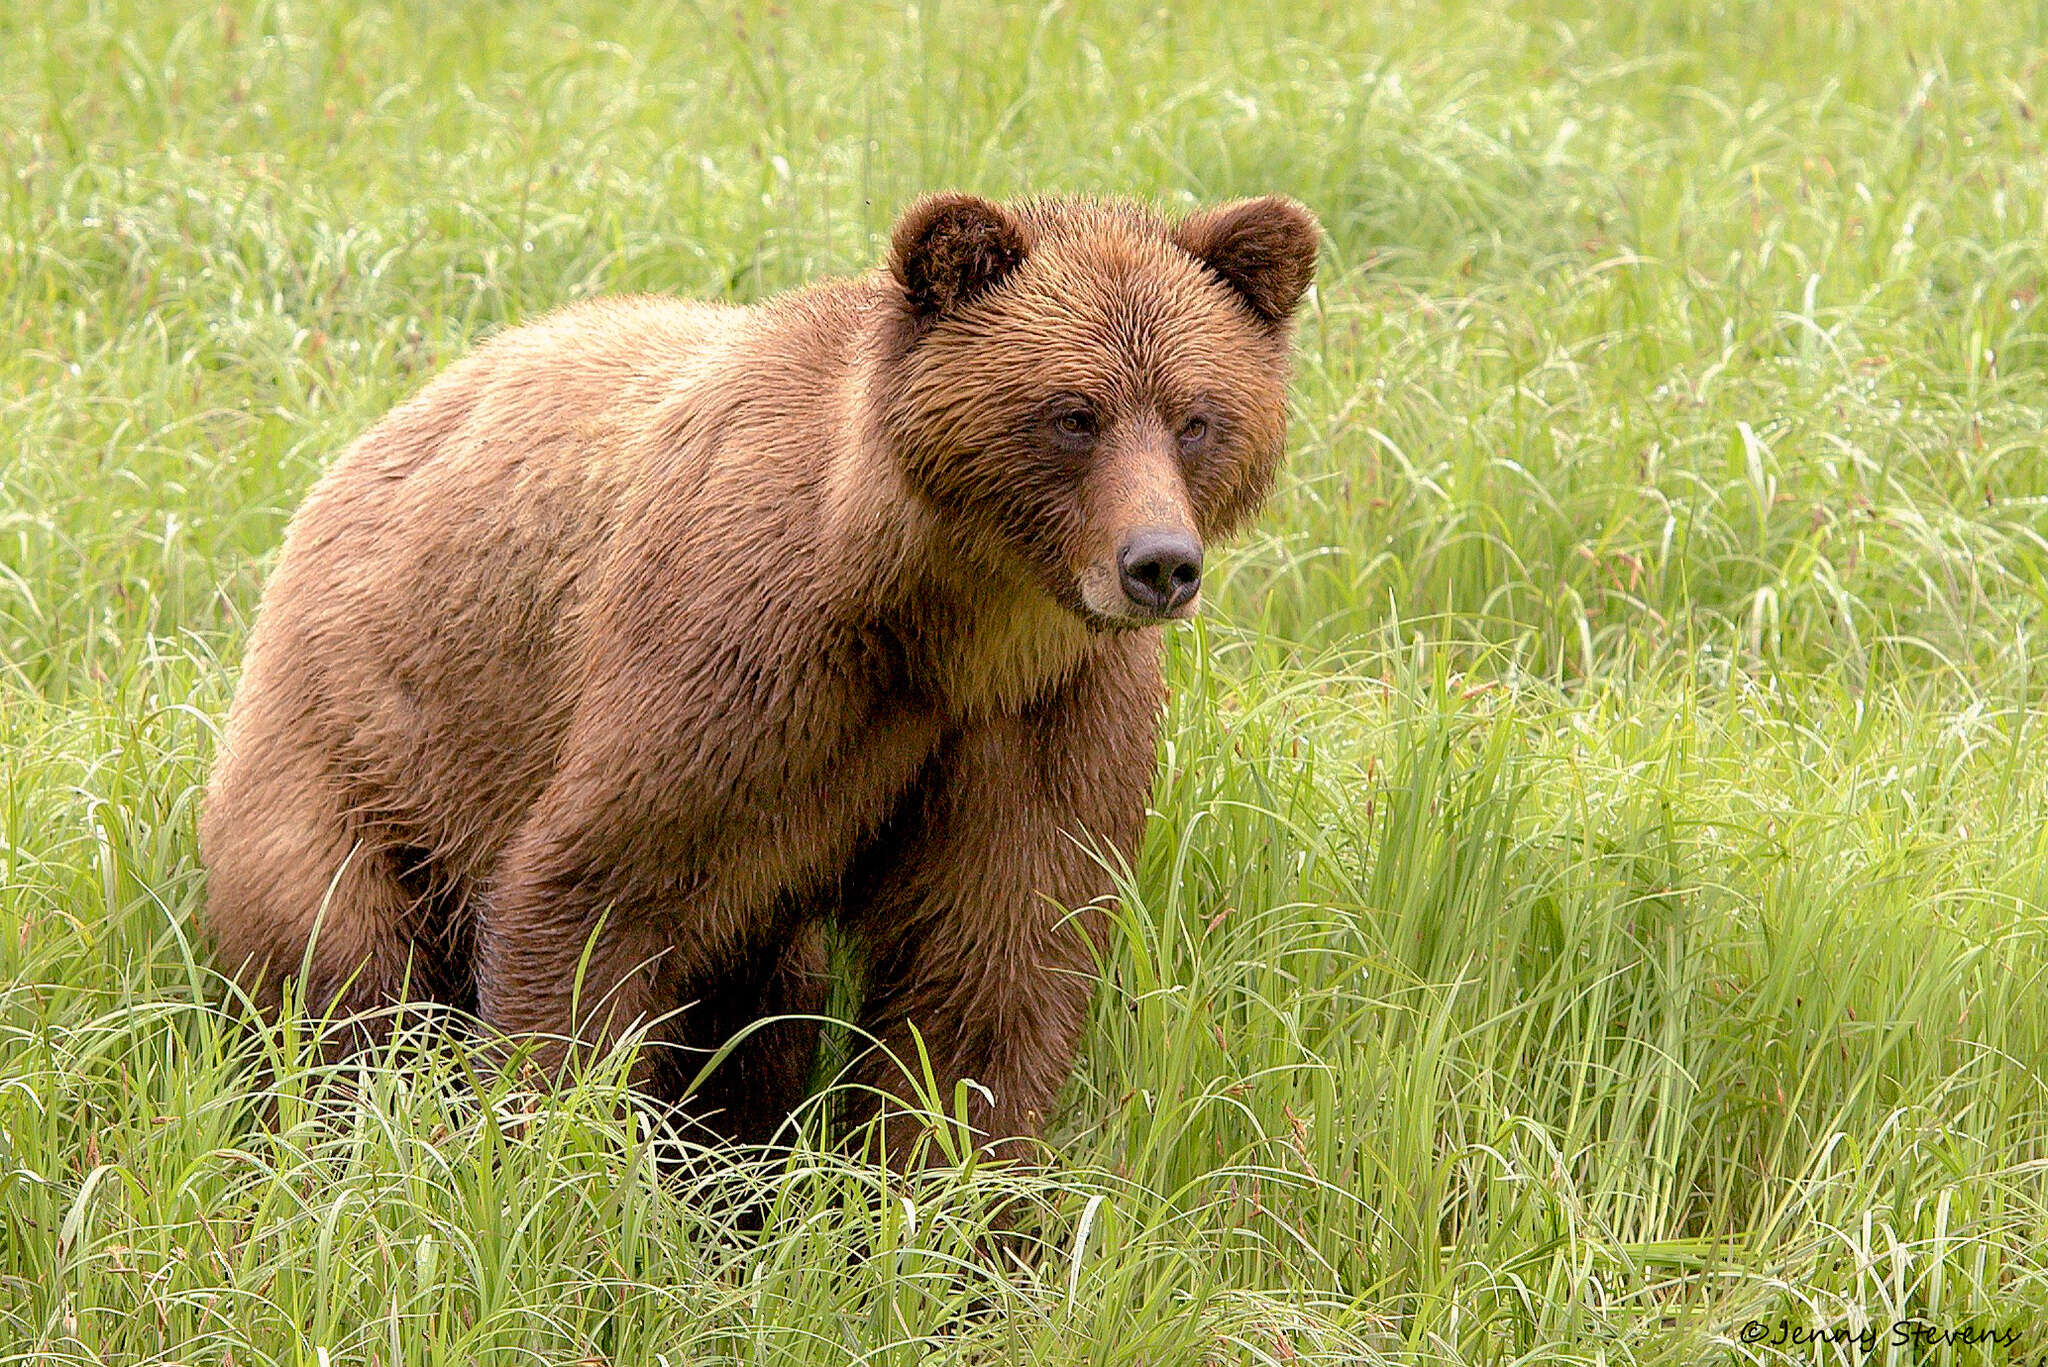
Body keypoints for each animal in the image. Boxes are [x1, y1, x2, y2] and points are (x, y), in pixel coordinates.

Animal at [199, 189, 1318, 1155]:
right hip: (359, 746)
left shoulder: (1042, 713)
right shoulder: (744, 656)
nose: (1158, 563)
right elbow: (593, 894)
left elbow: (989, 972)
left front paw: (943, 1218)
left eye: (1195, 415)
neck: (942, 623)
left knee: (763, 1012)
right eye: (1073, 413)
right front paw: (558, 1161)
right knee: (343, 978)